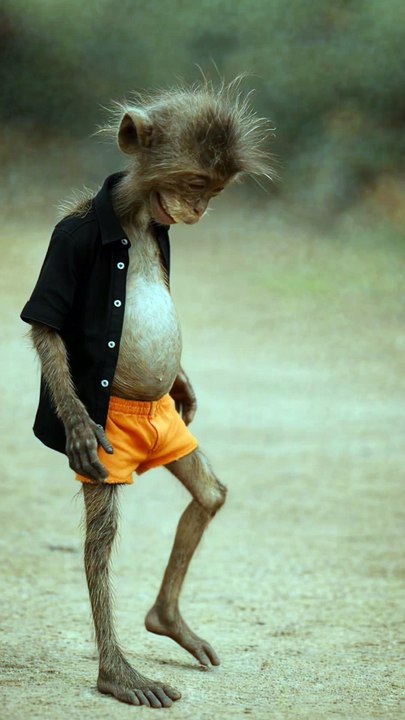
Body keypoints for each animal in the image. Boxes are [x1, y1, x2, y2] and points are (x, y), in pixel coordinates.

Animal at [21, 79, 272, 708]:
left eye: (213, 191)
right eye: (193, 185)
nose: (199, 211)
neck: (133, 221)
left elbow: (209, 491)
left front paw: (184, 385)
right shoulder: (69, 239)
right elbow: (47, 327)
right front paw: (76, 423)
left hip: (169, 437)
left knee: (209, 494)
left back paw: (166, 620)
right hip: (110, 457)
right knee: (101, 539)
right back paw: (117, 673)